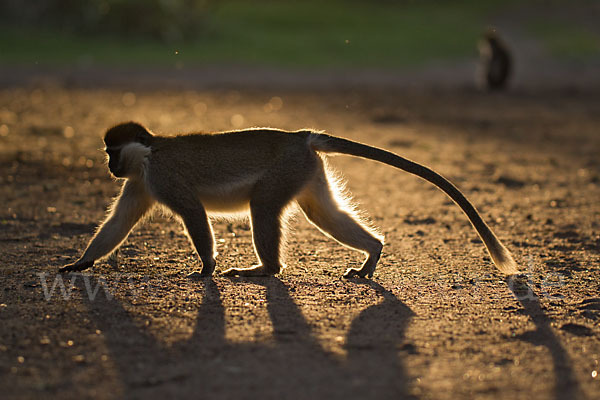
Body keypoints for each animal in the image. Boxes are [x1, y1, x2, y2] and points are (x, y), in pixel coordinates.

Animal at [61, 122, 520, 278]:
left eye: (112, 152)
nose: (109, 167)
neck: (149, 154)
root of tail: (299, 136)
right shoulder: (140, 182)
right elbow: (117, 223)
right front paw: (80, 263)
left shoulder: (161, 177)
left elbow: (192, 211)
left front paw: (206, 268)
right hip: (305, 171)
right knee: (322, 212)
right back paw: (372, 254)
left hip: (285, 171)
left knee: (263, 207)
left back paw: (265, 270)